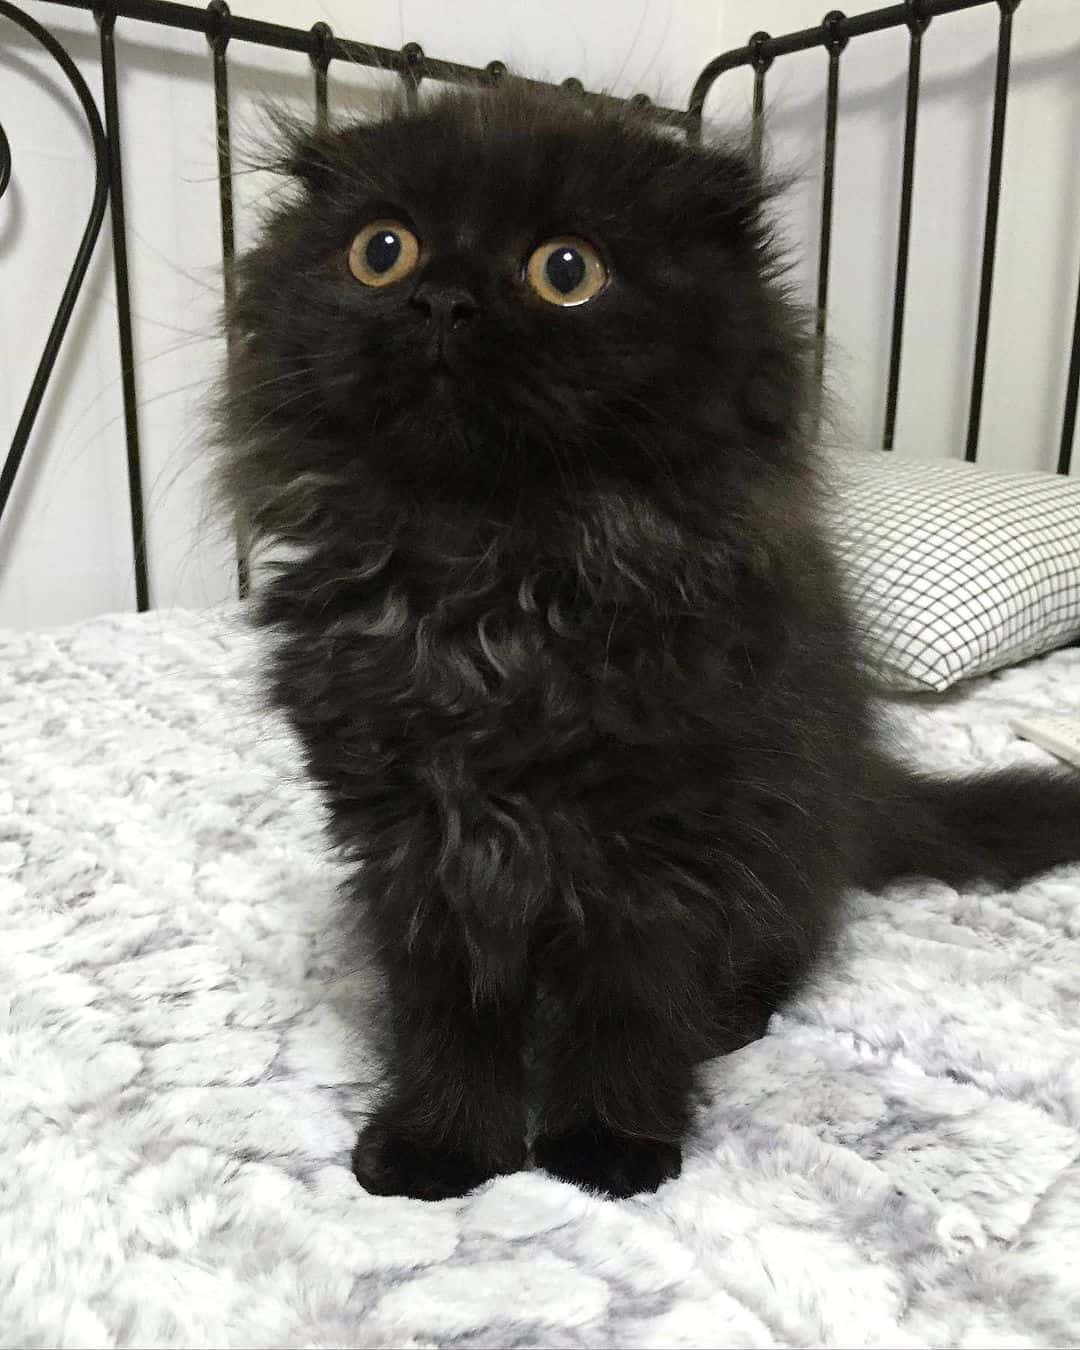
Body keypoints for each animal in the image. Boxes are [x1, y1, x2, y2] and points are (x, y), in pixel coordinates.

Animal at [214, 84, 1080, 1204]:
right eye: (382, 251)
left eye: (566, 270)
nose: (441, 300)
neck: (490, 577)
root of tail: (868, 787)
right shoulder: (413, 837)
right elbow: (449, 1004)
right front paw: (443, 1143)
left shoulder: (661, 842)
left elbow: (626, 1000)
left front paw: (604, 1143)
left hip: (784, 842)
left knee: (783, 942)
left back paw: (728, 1020)